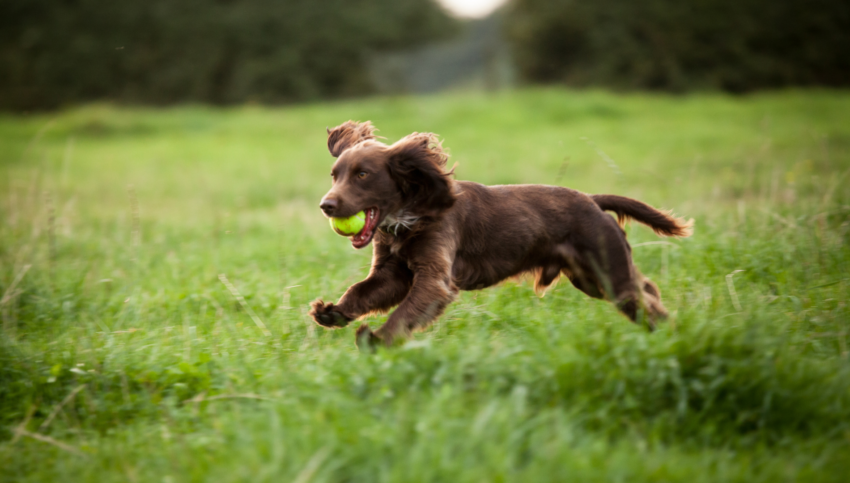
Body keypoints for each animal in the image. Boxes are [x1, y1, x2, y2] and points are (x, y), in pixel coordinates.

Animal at [308, 120, 692, 348]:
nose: (326, 205)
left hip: (608, 274)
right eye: (334, 175)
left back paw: (674, 334)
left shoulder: (435, 278)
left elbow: (405, 312)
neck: (411, 215)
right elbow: (362, 291)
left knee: (644, 299)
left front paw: (377, 339)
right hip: (591, 279)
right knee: (646, 289)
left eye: (363, 175)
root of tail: (593, 200)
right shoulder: (393, 273)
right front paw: (333, 312)